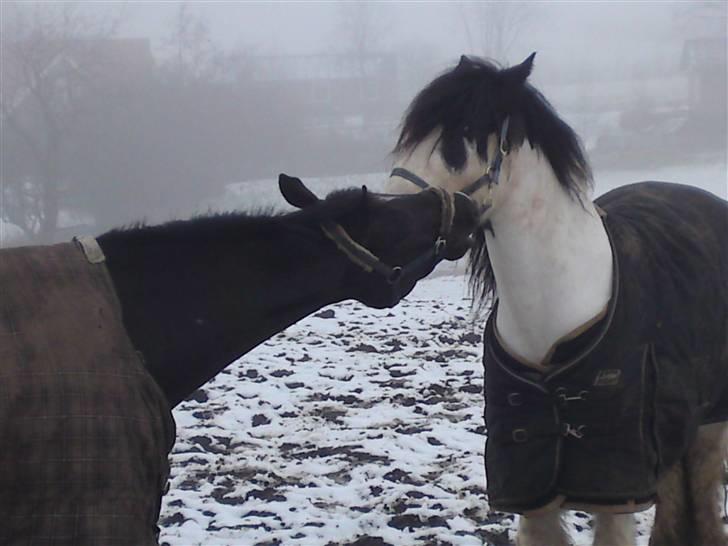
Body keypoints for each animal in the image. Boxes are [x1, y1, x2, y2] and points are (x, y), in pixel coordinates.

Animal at [384, 52, 724, 544]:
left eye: (456, 140)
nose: (387, 227)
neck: (552, 308)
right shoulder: (531, 488)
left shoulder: (616, 489)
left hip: (710, 423)